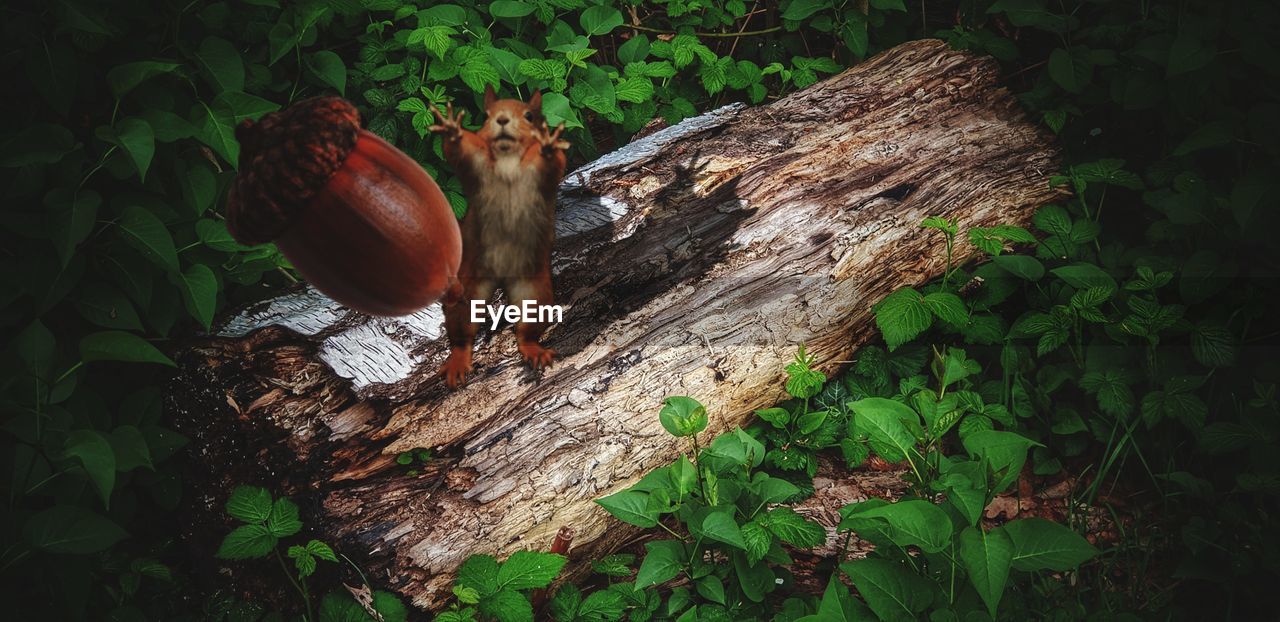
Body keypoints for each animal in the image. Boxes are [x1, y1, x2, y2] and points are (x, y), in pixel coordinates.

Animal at [427, 86, 568, 389]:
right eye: (487, 115)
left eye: (529, 116)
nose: (502, 120)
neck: (507, 159)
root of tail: (502, 279)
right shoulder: (476, 162)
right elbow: (457, 152)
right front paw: (451, 129)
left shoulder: (542, 175)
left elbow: (554, 163)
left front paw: (549, 145)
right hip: (468, 291)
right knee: (462, 334)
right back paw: (458, 362)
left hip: (535, 294)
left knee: (526, 331)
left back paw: (534, 350)